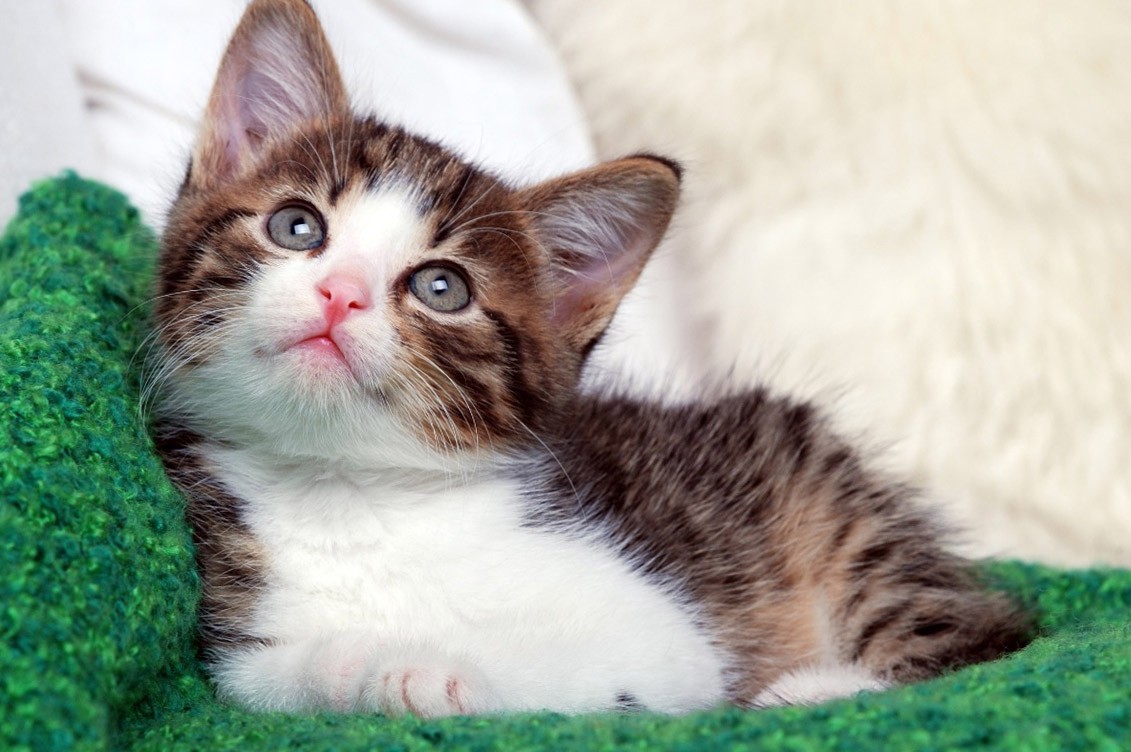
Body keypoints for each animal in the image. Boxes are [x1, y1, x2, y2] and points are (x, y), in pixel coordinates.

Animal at [154, 0, 1031, 714]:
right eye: (296, 226)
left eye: (442, 288)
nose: (341, 294)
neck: (347, 492)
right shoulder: (247, 635)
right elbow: (273, 675)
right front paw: (361, 665)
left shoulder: (666, 634)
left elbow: (580, 670)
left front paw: (434, 672)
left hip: (831, 507)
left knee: (981, 635)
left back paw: (820, 686)